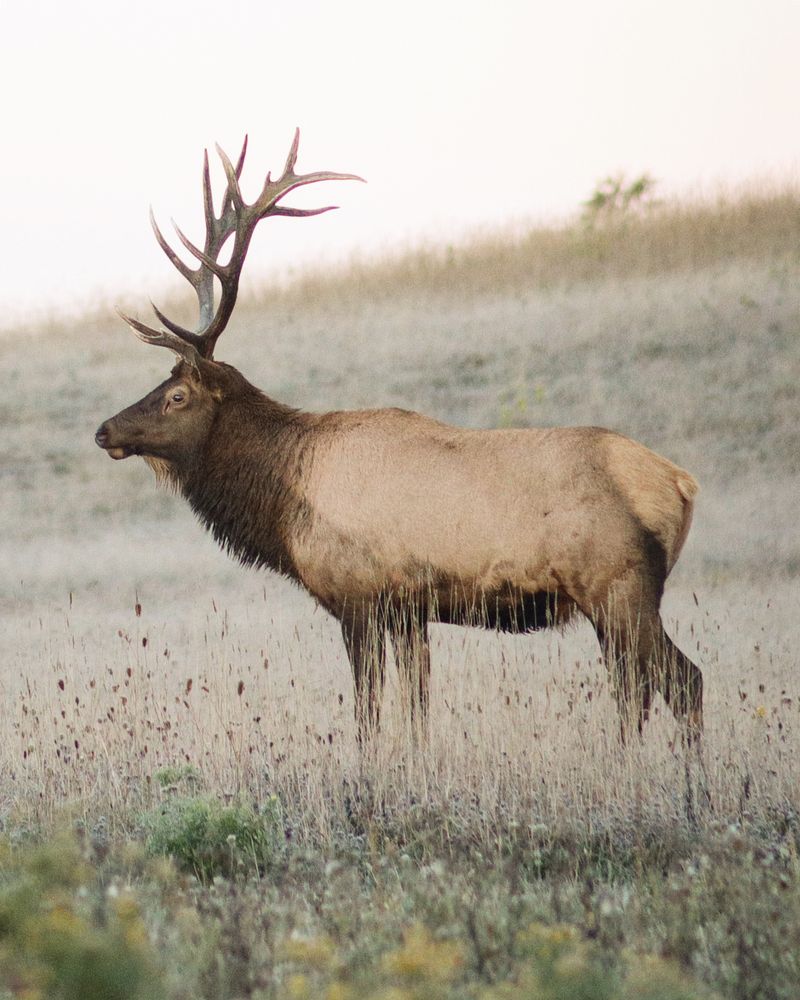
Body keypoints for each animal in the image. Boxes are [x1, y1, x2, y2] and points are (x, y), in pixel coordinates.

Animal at [95, 130, 703, 744]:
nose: (104, 430)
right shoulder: (410, 610)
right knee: (644, 686)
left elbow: (369, 712)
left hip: (618, 584)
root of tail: (681, 484)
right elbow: (418, 708)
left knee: (679, 681)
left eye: (177, 396)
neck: (284, 499)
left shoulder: (358, 598)